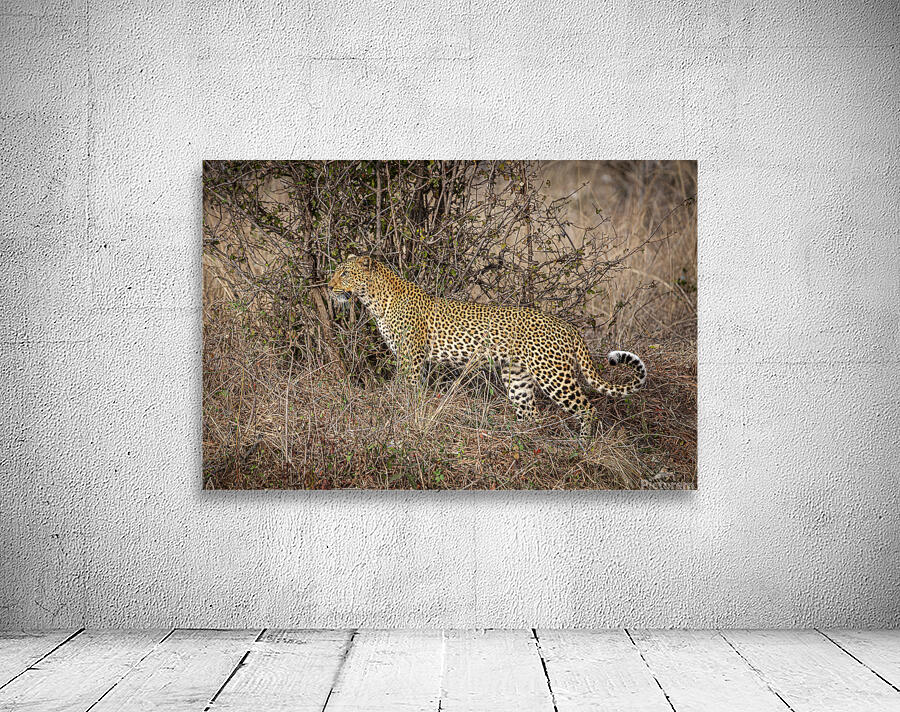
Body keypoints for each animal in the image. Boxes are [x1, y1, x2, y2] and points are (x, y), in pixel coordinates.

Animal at [328, 255, 647, 437]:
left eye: (345, 273)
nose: (329, 287)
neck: (374, 300)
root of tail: (568, 327)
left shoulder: (410, 359)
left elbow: (406, 392)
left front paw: (400, 419)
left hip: (554, 376)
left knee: (587, 408)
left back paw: (583, 444)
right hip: (516, 376)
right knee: (531, 413)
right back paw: (521, 438)